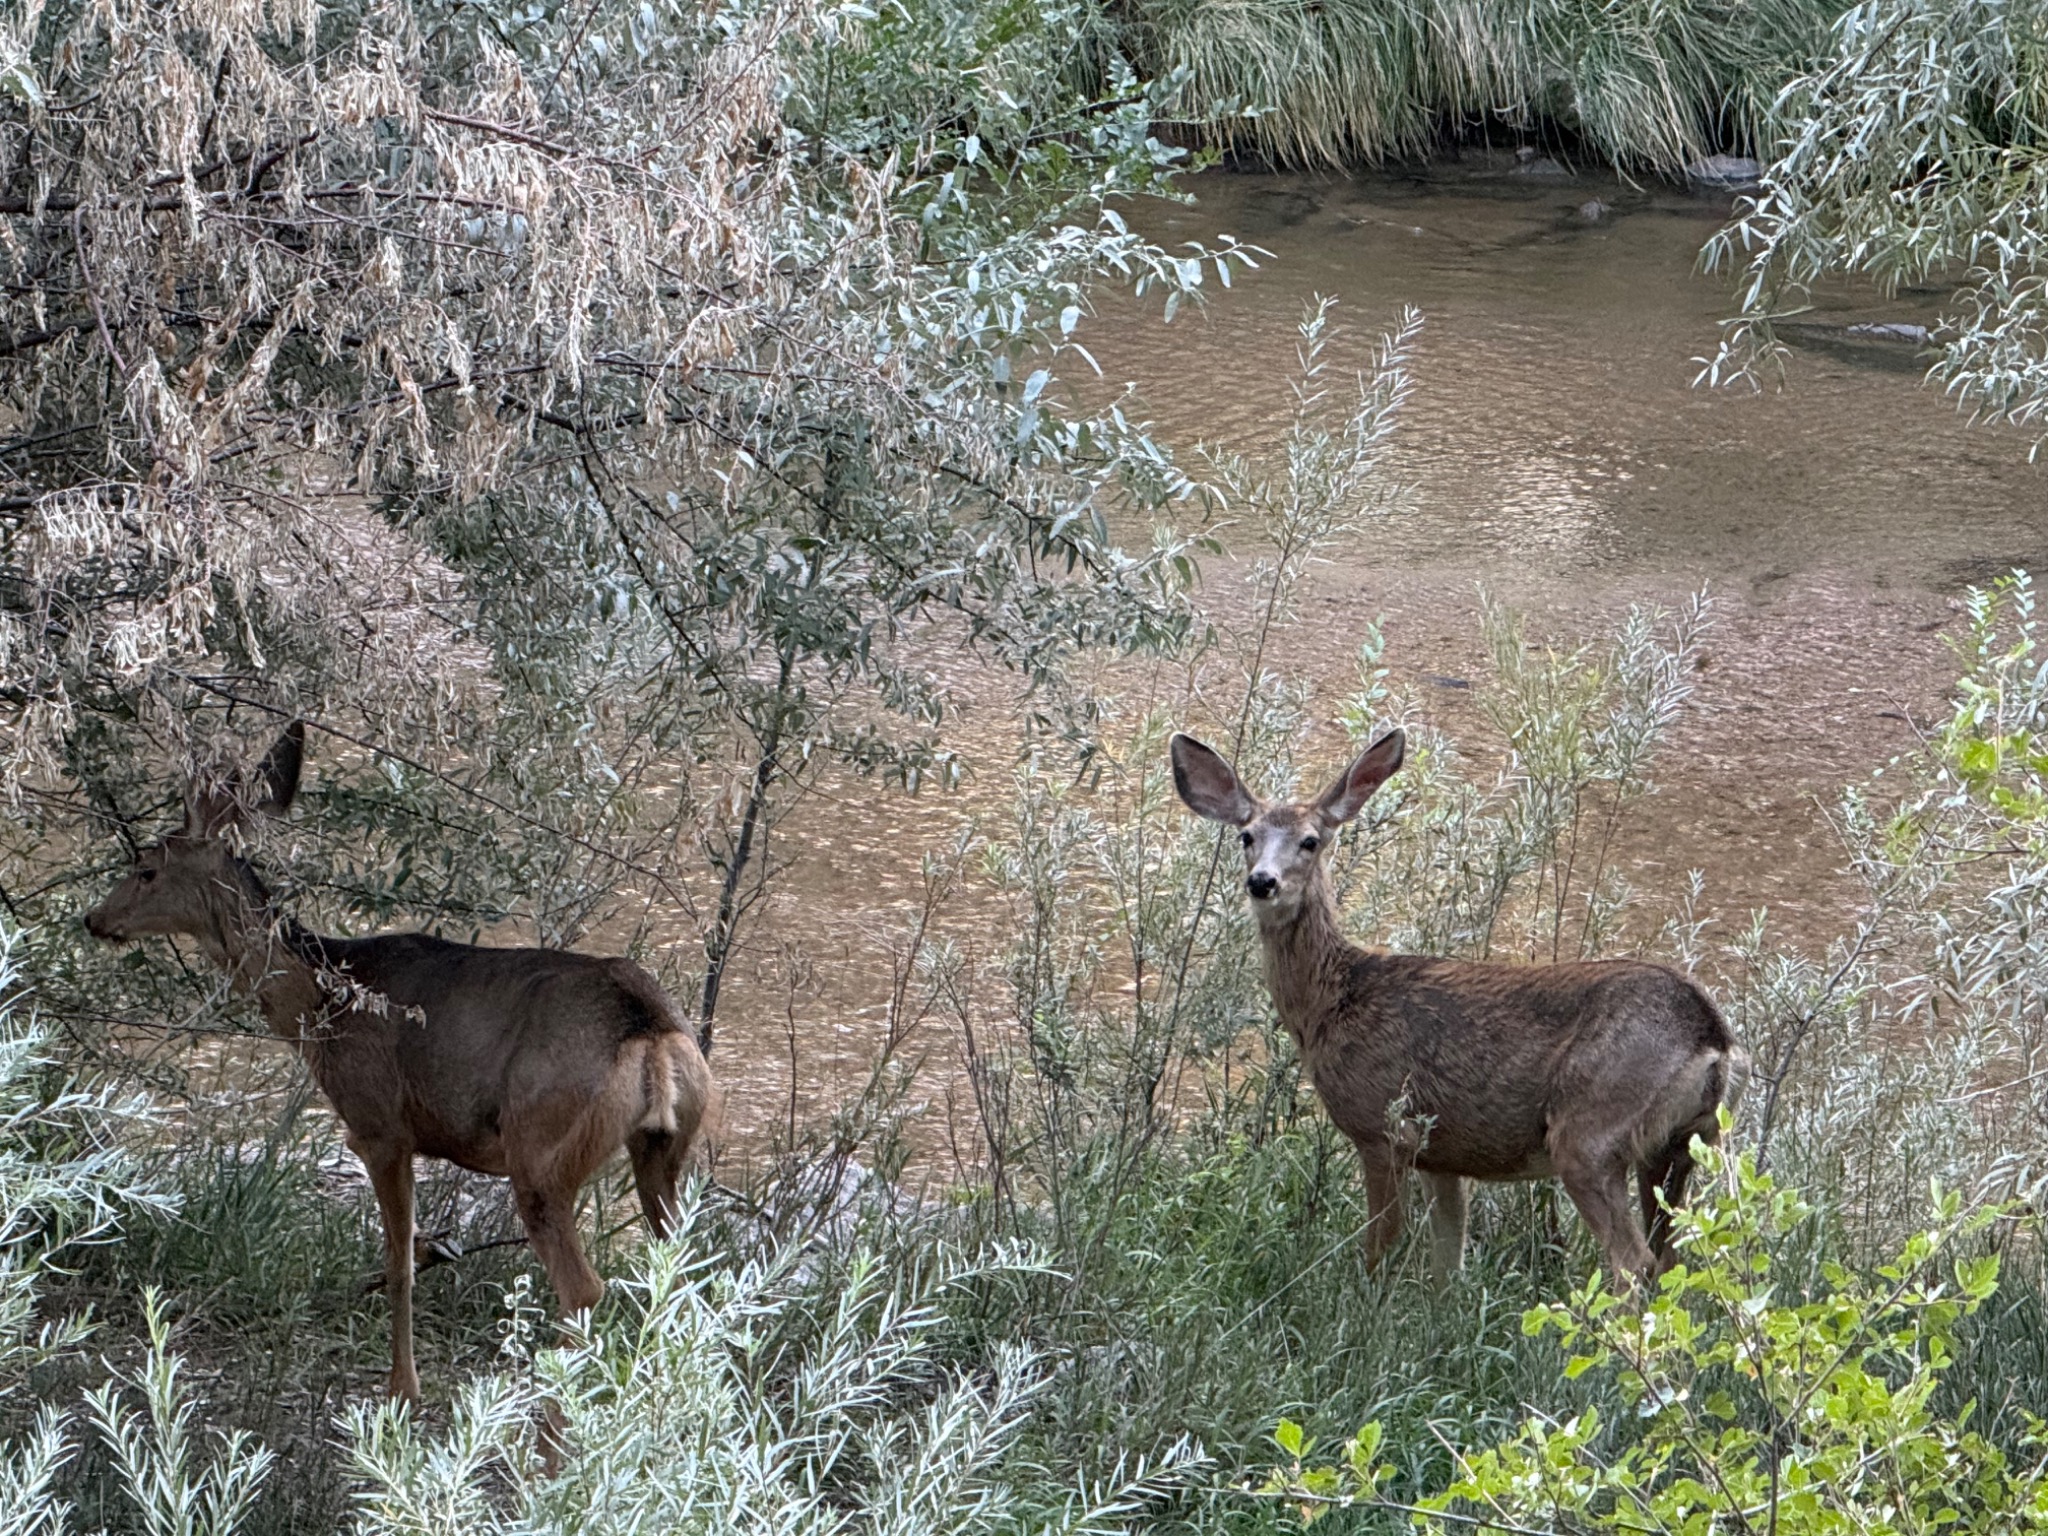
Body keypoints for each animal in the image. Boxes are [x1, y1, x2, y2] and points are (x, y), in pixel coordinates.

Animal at [83, 722, 716, 1405]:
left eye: (145, 869)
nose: (93, 918)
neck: (323, 998)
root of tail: (651, 1032)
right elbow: (415, 1253)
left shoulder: (378, 1124)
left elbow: (399, 1262)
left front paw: (401, 1389)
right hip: (665, 1149)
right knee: (682, 1272)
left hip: (542, 1147)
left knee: (584, 1288)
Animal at [1170, 728, 1748, 1284]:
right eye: (1247, 836)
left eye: (1310, 841)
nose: (1262, 881)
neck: (1331, 1002)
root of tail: (1712, 1038)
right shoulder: (1443, 1155)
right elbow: (1448, 1264)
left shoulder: (1384, 1126)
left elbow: (1380, 1249)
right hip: (1678, 1147)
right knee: (1672, 1259)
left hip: (1591, 1133)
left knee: (1634, 1261)